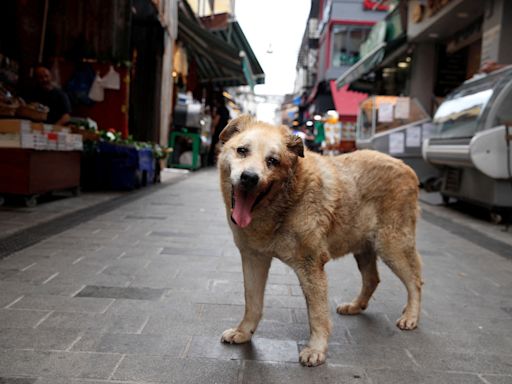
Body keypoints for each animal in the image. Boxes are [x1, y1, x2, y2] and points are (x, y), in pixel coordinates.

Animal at [216, 115, 420, 368]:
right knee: (373, 279)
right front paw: (243, 332)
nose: (250, 178)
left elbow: (317, 314)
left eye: (272, 161)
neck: (285, 201)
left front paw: (316, 349)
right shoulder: (254, 258)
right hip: (363, 248)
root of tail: (406, 167)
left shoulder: (311, 265)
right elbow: (252, 302)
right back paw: (356, 306)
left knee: (415, 281)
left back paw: (411, 316)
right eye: (242, 150)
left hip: (392, 246)